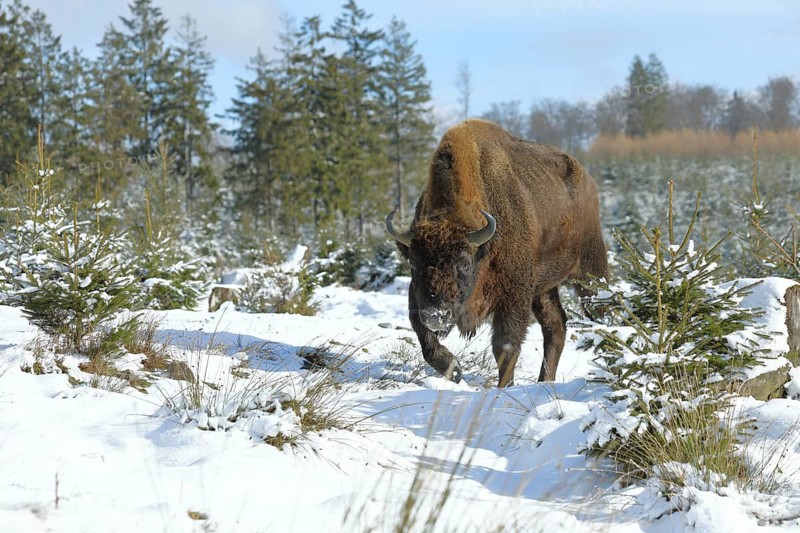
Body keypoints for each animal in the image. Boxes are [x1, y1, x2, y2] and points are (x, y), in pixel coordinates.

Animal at [386, 119, 607, 387]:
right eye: (413, 264)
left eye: (464, 264)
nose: (435, 315)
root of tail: (587, 181)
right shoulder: (417, 296)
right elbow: (424, 337)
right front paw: (455, 370)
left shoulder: (514, 295)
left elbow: (505, 346)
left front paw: (503, 388)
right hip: (543, 287)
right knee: (555, 326)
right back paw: (544, 381)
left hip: (589, 270)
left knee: (599, 313)